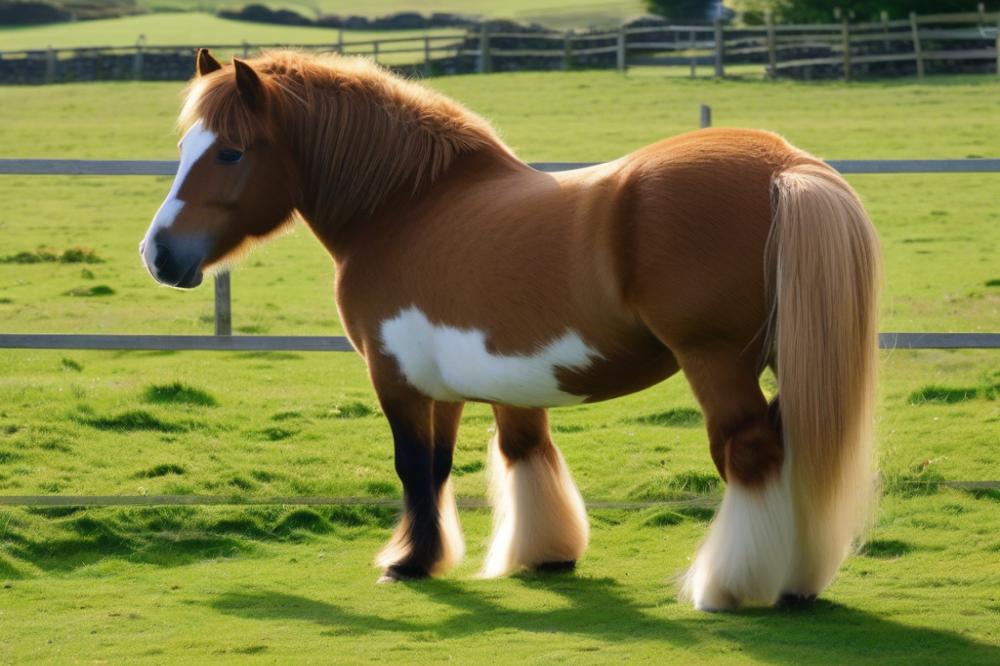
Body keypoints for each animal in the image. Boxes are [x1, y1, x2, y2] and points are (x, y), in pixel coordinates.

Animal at [143, 49, 884, 608]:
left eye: (231, 153)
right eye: (184, 145)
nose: (159, 255)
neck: (409, 206)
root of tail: (785, 166)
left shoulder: (397, 378)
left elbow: (414, 467)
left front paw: (409, 562)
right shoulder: (471, 384)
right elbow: (512, 453)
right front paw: (543, 555)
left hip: (718, 363)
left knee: (751, 454)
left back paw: (727, 587)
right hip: (787, 358)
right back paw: (795, 582)